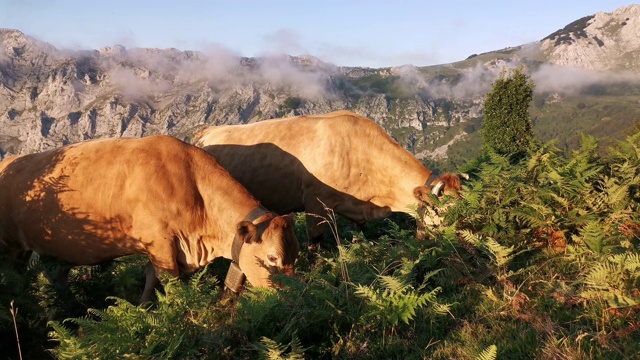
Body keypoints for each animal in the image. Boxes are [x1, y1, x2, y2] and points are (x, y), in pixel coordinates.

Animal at [0, 134, 298, 300]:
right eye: (273, 258)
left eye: (296, 257)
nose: (293, 299)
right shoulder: (159, 242)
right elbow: (171, 284)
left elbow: (150, 278)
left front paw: (143, 307)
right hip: (11, 247)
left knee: (54, 275)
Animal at [191, 109, 464, 248]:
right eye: (445, 214)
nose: (466, 244)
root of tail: (207, 131)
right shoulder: (315, 202)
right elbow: (315, 241)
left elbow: (359, 233)